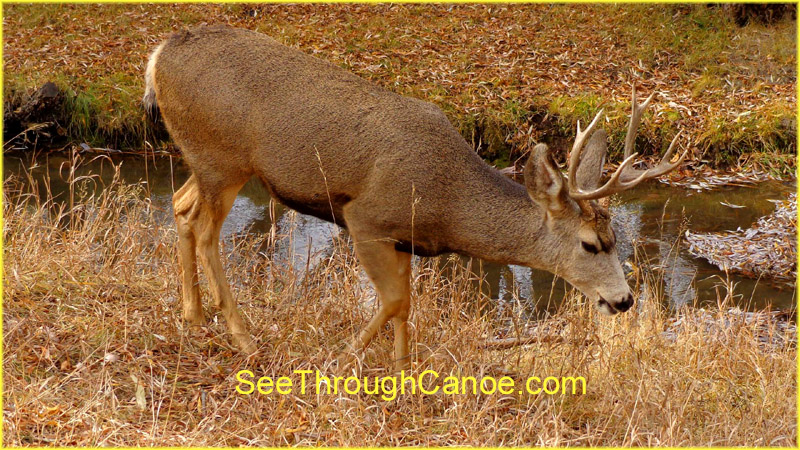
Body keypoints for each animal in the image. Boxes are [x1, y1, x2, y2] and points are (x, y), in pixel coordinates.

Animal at [143, 25, 686, 370]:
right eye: (590, 245)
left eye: (616, 239)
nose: (623, 300)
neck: (447, 205)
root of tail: (157, 56)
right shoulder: (365, 217)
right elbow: (394, 301)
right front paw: (344, 359)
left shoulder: (404, 239)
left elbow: (406, 305)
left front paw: (402, 371)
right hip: (222, 157)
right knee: (207, 233)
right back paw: (242, 337)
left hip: (205, 161)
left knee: (181, 208)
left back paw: (193, 316)